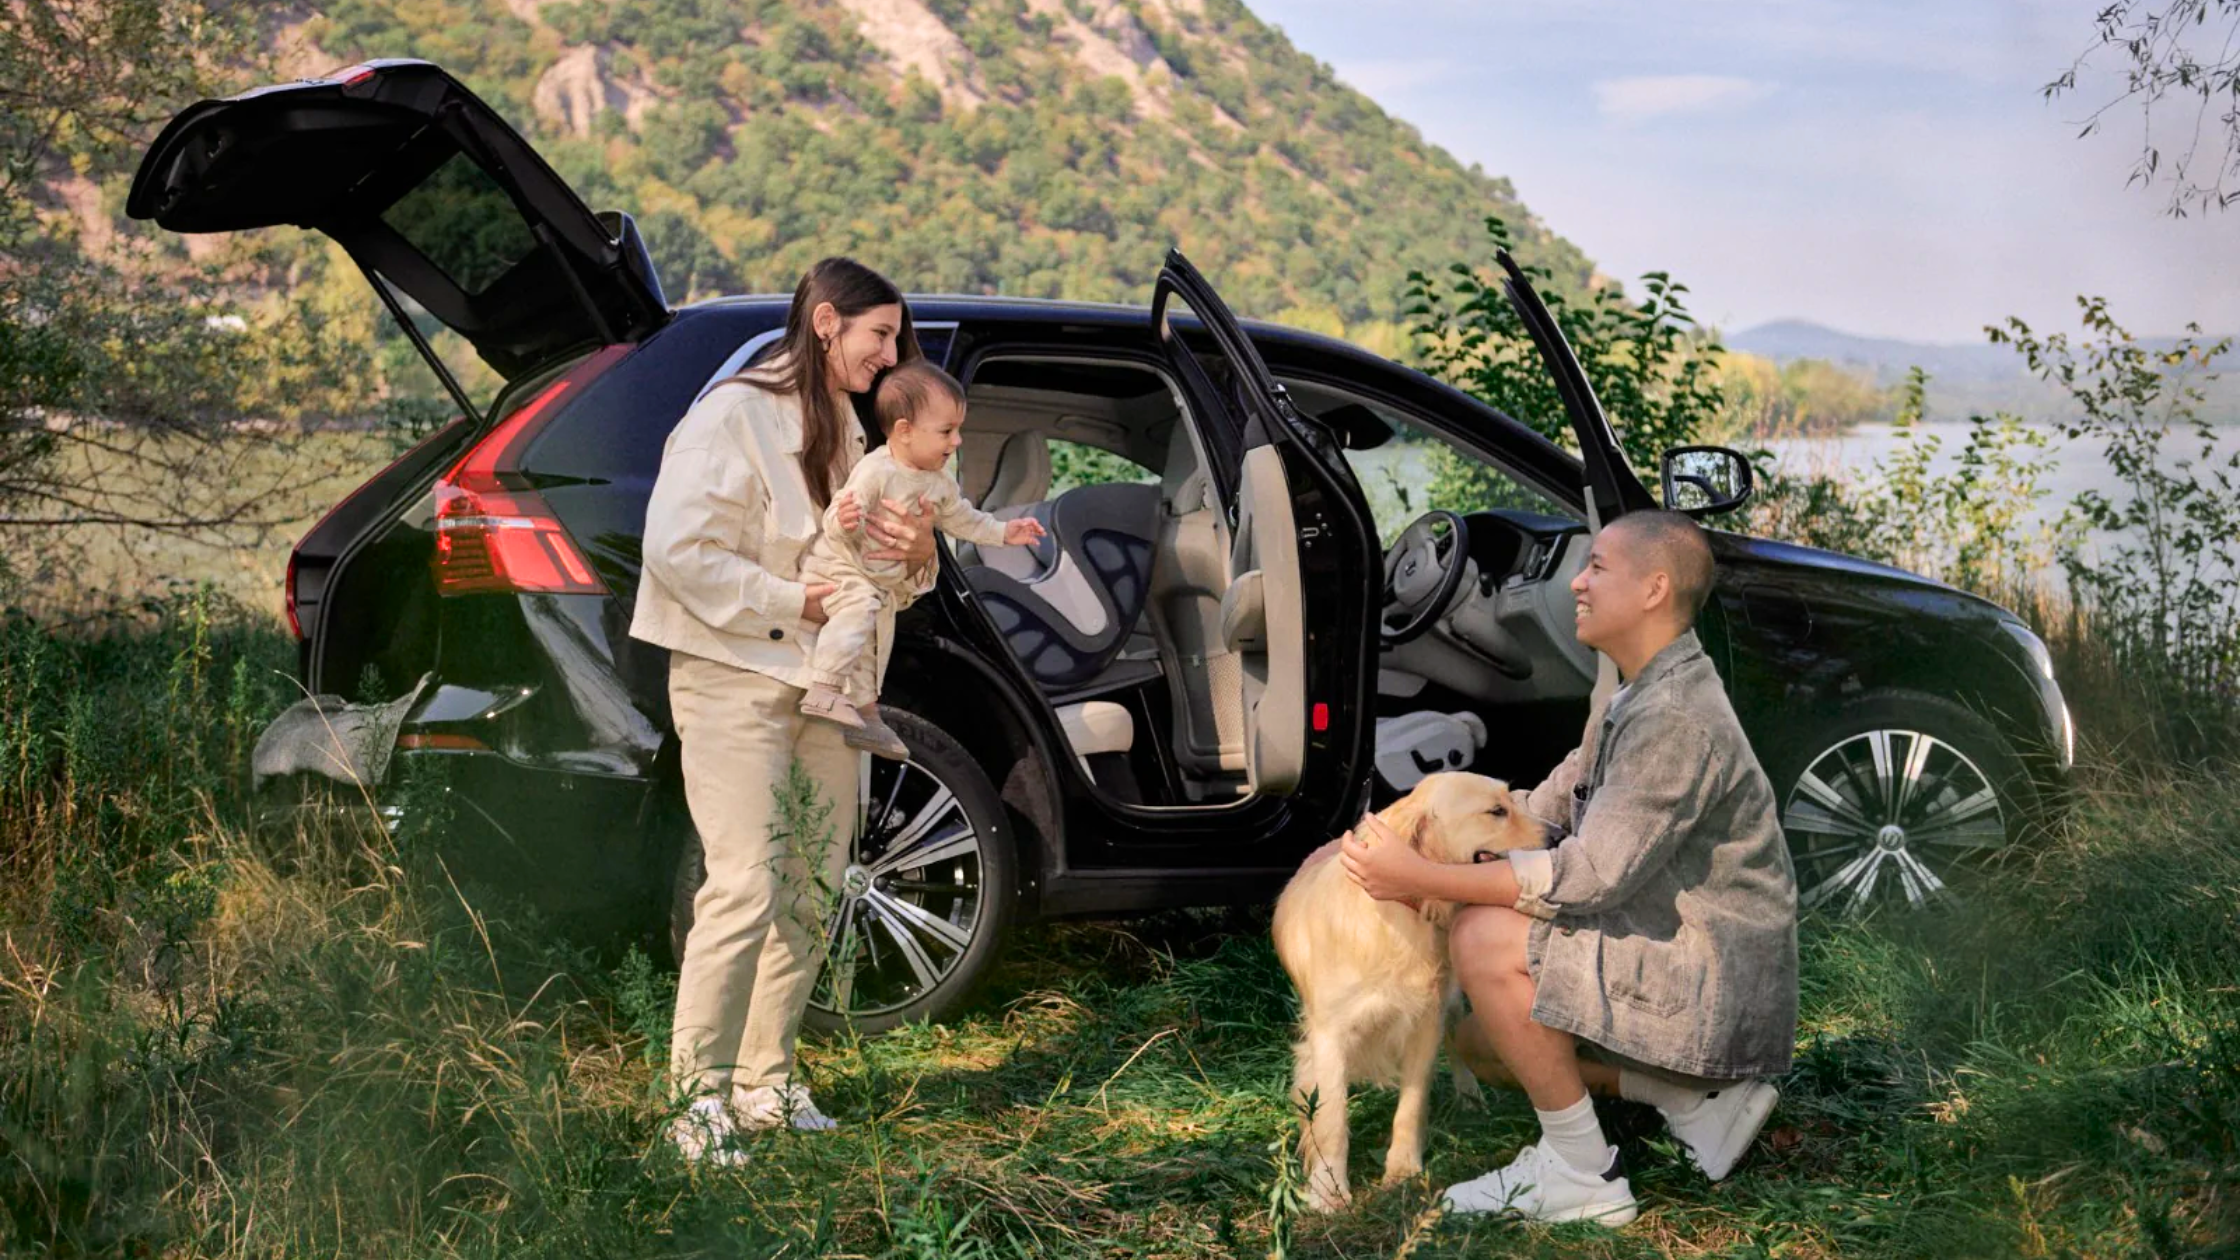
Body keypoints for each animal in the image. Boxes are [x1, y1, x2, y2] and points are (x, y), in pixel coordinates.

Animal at [1272, 771, 1550, 1201]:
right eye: (1496, 811)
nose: (1559, 834)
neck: (1399, 920)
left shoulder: (1425, 1021)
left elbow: (1412, 1102)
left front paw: (1402, 1169)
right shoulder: (1329, 1034)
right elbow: (1331, 1116)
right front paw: (1329, 1191)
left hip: (1451, 999)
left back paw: (1470, 1098)